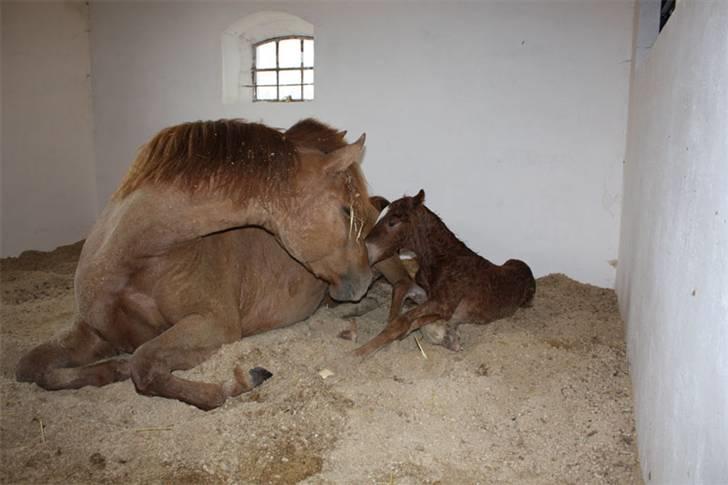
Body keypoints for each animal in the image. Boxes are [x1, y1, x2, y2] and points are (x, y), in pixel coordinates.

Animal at [352, 189, 536, 356]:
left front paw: (358, 353)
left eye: (392, 222)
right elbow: (400, 308)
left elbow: (403, 321)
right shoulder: (424, 294)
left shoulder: (443, 305)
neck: (444, 261)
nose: (365, 254)